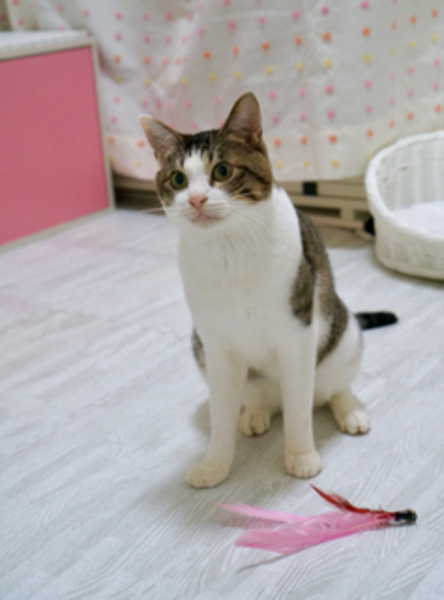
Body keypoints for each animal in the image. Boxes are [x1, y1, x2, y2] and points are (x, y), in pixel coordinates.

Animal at [140, 93, 396, 488]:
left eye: (222, 171)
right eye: (178, 179)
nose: (196, 199)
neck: (228, 252)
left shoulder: (297, 336)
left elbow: (299, 411)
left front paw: (301, 455)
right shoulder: (216, 346)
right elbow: (221, 416)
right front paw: (215, 463)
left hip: (346, 333)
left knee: (333, 387)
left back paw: (350, 411)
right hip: (199, 347)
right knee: (258, 397)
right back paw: (256, 412)